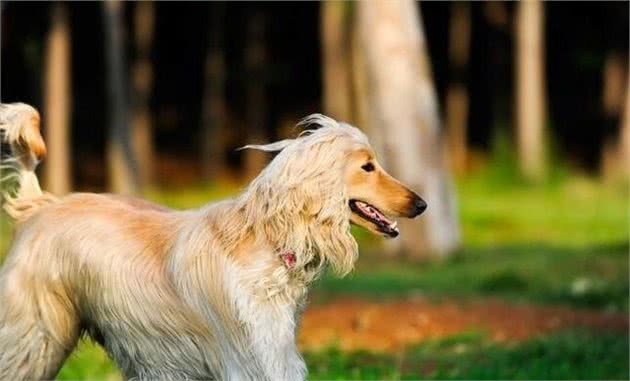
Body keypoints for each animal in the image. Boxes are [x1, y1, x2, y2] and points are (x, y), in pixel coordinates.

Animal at [0, 102, 430, 378]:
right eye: (367, 167)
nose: (421, 204)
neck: (267, 242)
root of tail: (40, 205)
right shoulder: (251, 358)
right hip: (32, 337)